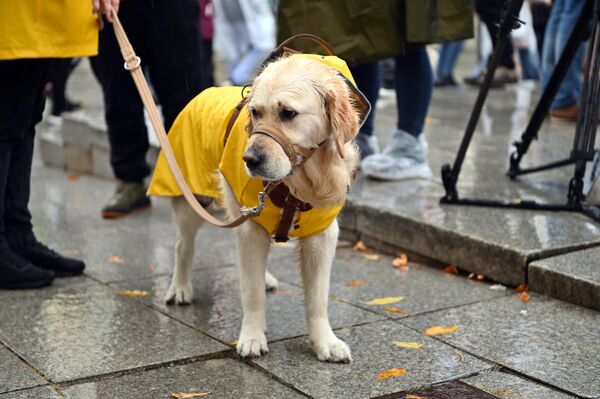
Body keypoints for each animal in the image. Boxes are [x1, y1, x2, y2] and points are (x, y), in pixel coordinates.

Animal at [155, 54, 366, 364]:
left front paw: (325, 342)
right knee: (184, 246)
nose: (250, 159)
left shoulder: (322, 236)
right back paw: (180, 287)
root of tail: (205, 91)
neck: (296, 182)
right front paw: (253, 337)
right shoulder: (249, 228)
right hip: (190, 198)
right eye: (254, 112)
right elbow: (251, 293)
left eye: (288, 113)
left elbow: (318, 298)